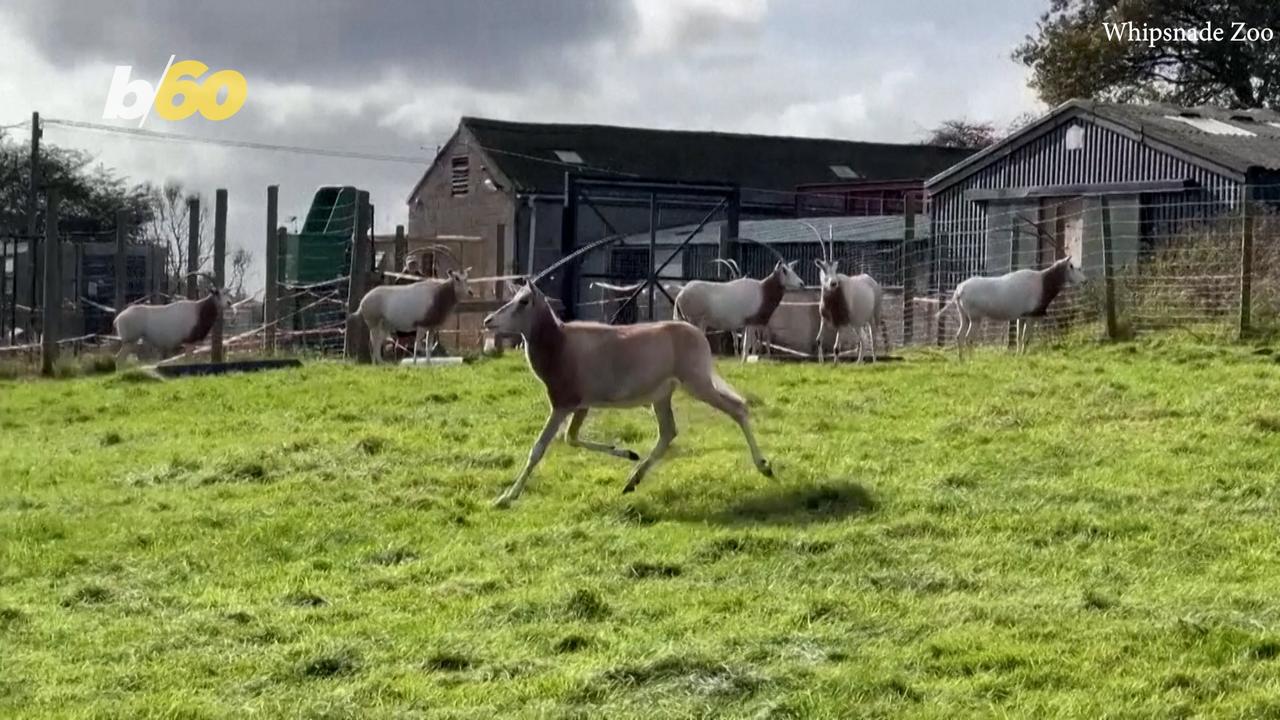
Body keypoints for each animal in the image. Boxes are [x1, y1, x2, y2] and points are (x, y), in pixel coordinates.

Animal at [670, 257, 798, 358]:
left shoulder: (747, 325)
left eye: (793, 270)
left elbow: (747, 343)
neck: (762, 289)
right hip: (695, 321)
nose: (801, 283)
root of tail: (680, 295)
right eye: (785, 271)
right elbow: (746, 344)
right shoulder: (750, 322)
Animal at [947, 252, 1085, 356]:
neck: (1044, 282)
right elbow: (1026, 338)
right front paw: (1023, 355)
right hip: (975, 318)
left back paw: (962, 359)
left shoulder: (1021, 317)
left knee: (959, 336)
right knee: (969, 338)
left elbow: (1018, 337)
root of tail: (959, 290)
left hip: (964, 317)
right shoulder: (1031, 316)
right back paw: (971, 359)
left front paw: (1018, 355)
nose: (1084, 281)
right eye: (1071, 266)